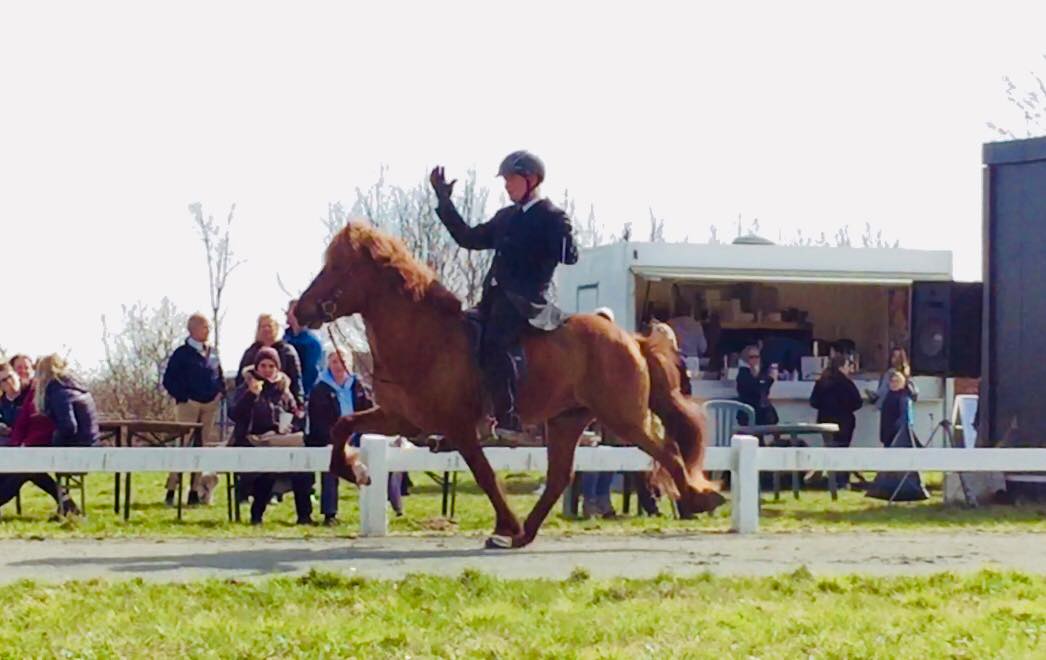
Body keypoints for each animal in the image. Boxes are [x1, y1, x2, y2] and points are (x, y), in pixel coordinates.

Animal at [294, 221, 719, 548]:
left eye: (338, 267)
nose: (299, 310)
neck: (425, 337)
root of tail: (632, 338)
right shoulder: (402, 419)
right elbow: (342, 426)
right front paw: (356, 472)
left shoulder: (459, 427)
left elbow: (485, 475)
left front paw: (505, 525)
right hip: (567, 420)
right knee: (560, 478)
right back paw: (526, 533)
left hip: (623, 418)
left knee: (668, 453)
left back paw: (698, 499)